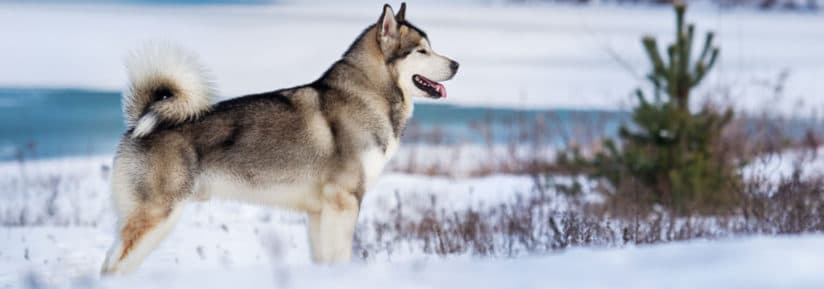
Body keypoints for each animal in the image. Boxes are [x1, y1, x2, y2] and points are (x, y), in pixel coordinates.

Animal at [100, 3, 460, 274]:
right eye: (422, 50)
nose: (457, 64)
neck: (369, 94)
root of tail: (140, 121)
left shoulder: (319, 212)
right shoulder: (344, 201)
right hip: (156, 217)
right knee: (114, 268)